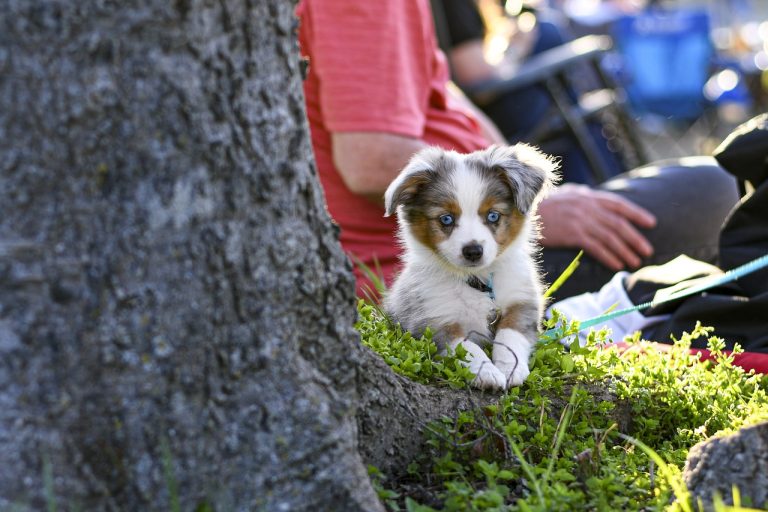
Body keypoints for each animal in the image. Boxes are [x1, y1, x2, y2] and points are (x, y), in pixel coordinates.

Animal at [384, 144, 560, 392]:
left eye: (493, 215)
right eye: (446, 219)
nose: (473, 251)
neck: (476, 280)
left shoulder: (521, 302)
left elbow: (510, 335)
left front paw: (510, 368)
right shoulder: (434, 321)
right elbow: (467, 348)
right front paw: (486, 373)